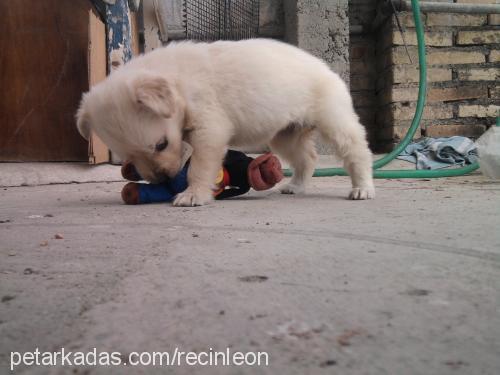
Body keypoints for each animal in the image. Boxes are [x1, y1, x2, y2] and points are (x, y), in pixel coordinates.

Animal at [77, 39, 376, 206]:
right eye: (128, 157)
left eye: (161, 144)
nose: (164, 179)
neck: (178, 82)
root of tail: (326, 68)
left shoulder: (210, 129)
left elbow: (198, 167)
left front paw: (193, 195)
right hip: (285, 134)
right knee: (307, 159)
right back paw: (296, 186)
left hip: (334, 121)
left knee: (357, 152)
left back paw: (362, 188)